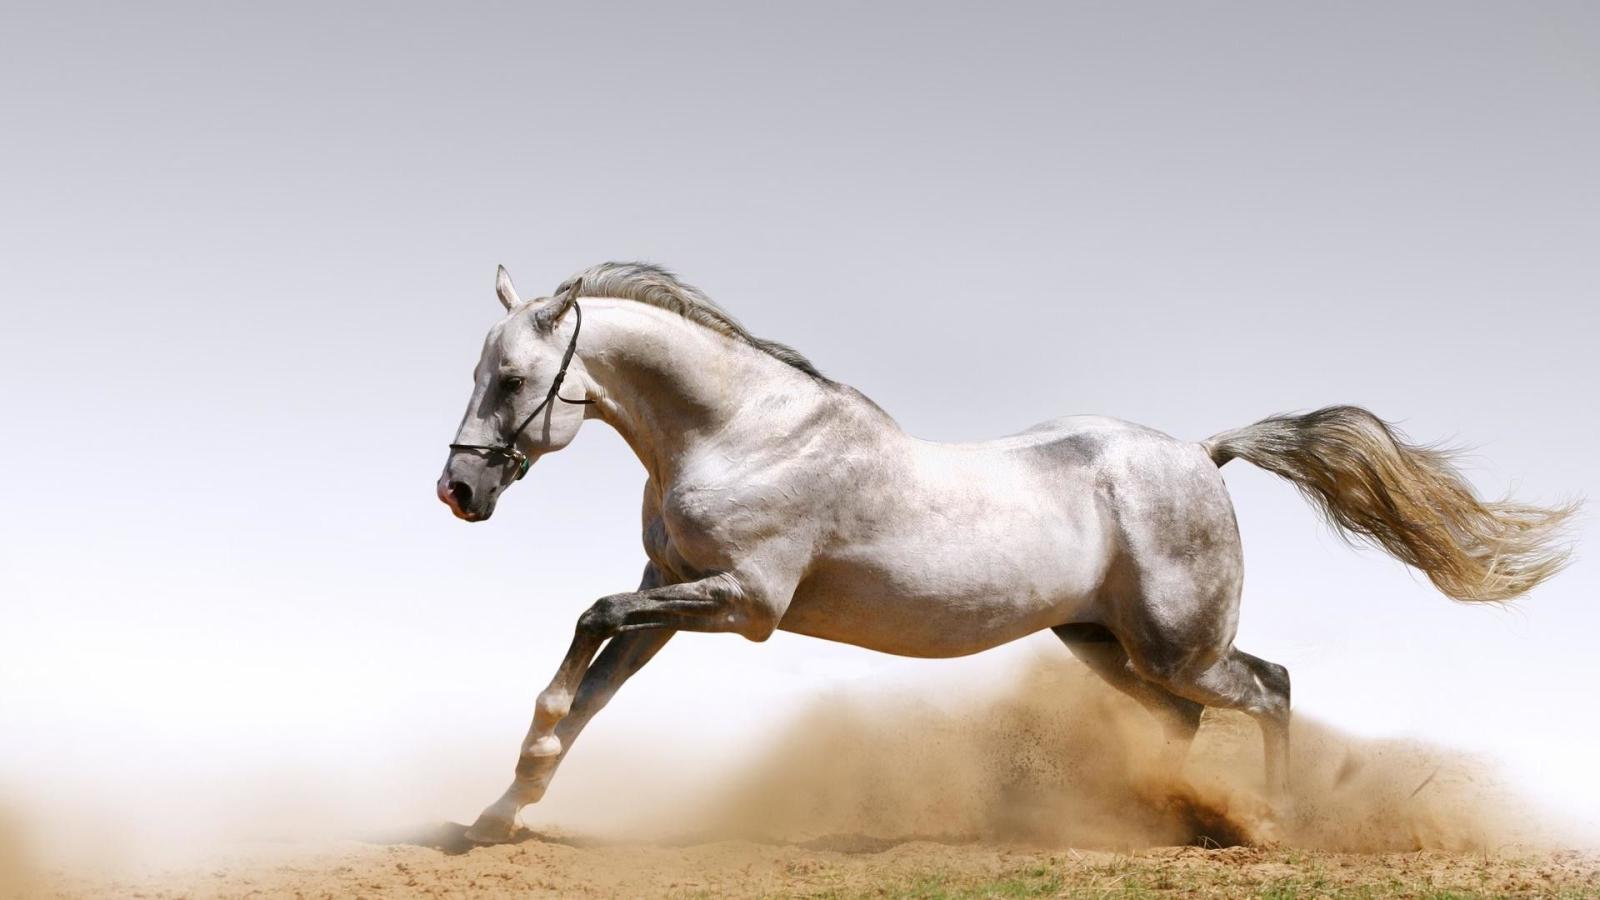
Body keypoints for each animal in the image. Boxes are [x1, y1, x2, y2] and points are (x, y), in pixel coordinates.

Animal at [438, 261, 1573, 844]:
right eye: (481, 372)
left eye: (512, 379)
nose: (458, 491)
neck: (741, 430)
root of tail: (1202, 455)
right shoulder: (672, 588)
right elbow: (591, 690)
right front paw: (498, 813)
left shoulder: (742, 603)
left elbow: (586, 626)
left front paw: (511, 785)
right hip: (1101, 643)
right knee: (1184, 722)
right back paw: (1160, 819)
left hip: (1180, 645)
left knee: (1272, 687)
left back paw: (1270, 824)